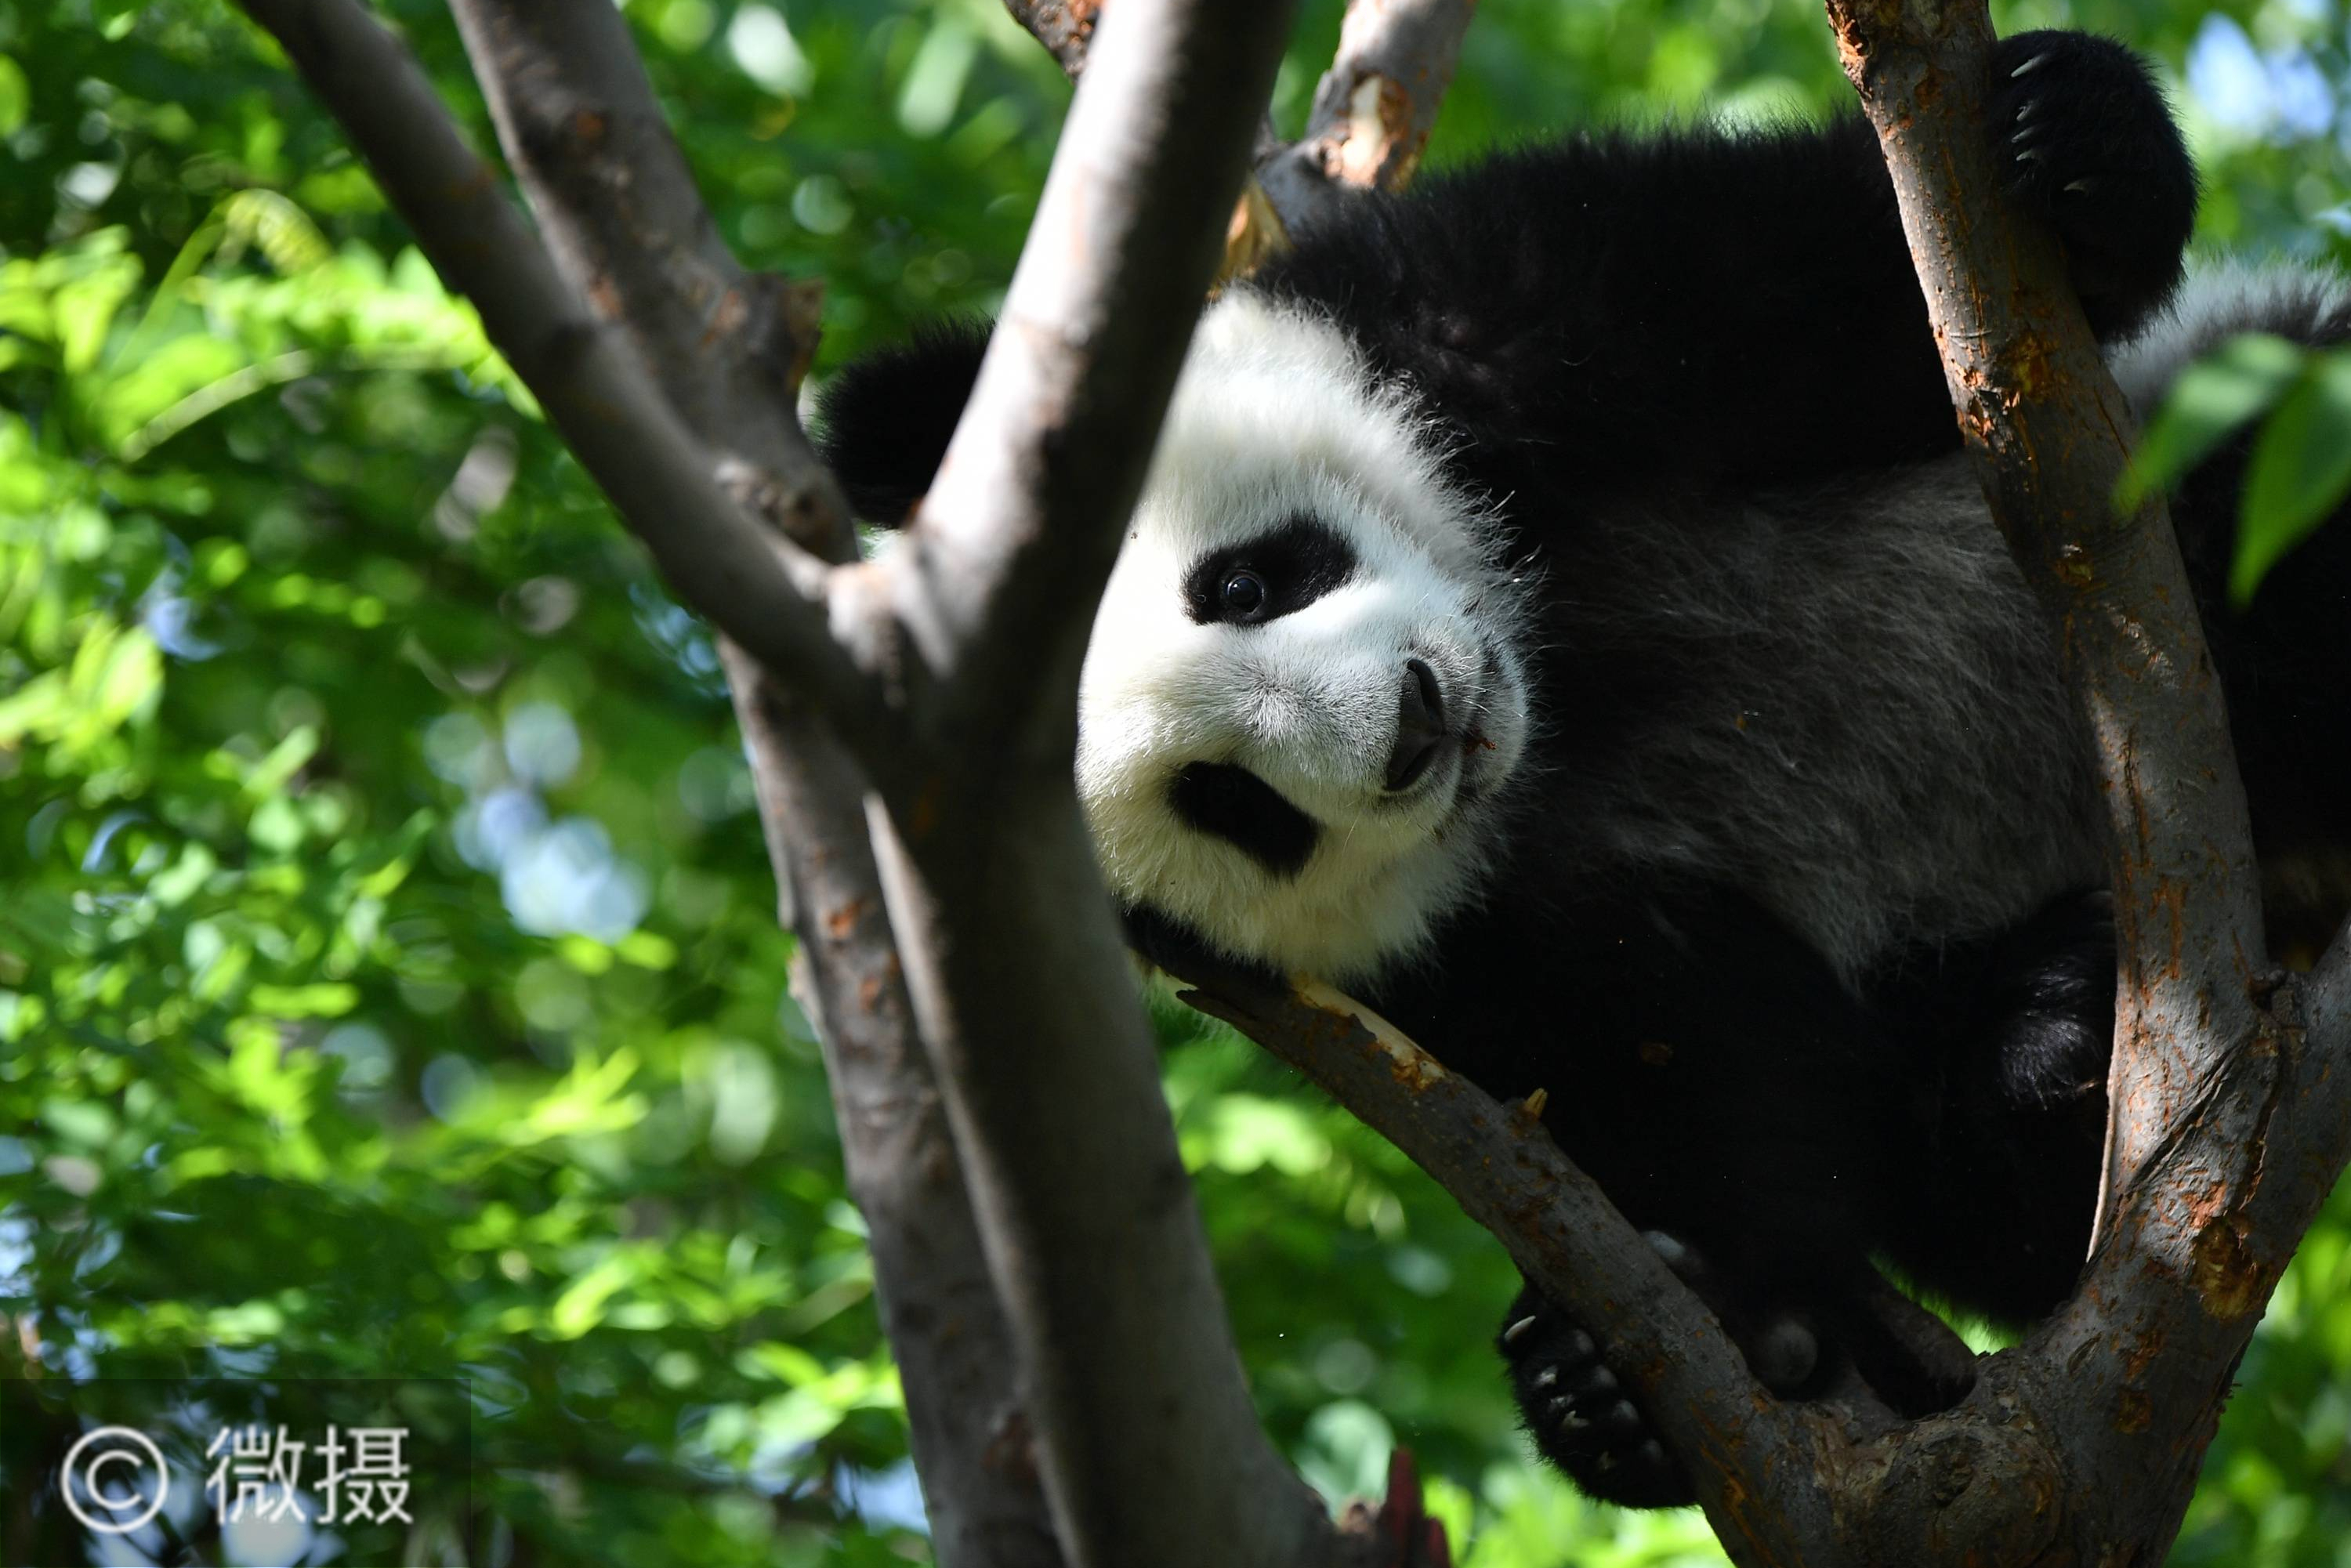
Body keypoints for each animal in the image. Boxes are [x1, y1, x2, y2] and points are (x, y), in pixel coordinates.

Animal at [819, 30, 2351, 1509]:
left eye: (1246, 583)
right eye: (1233, 804)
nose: (1416, 726)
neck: (1556, 702)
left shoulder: (1471, 325)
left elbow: (1797, 280)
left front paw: (2075, 142)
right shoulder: (1461, 958)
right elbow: (1691, 1057)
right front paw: (1665, 1365)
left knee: (2268, 469)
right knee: (1979, 1157)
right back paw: (2050, 1047)